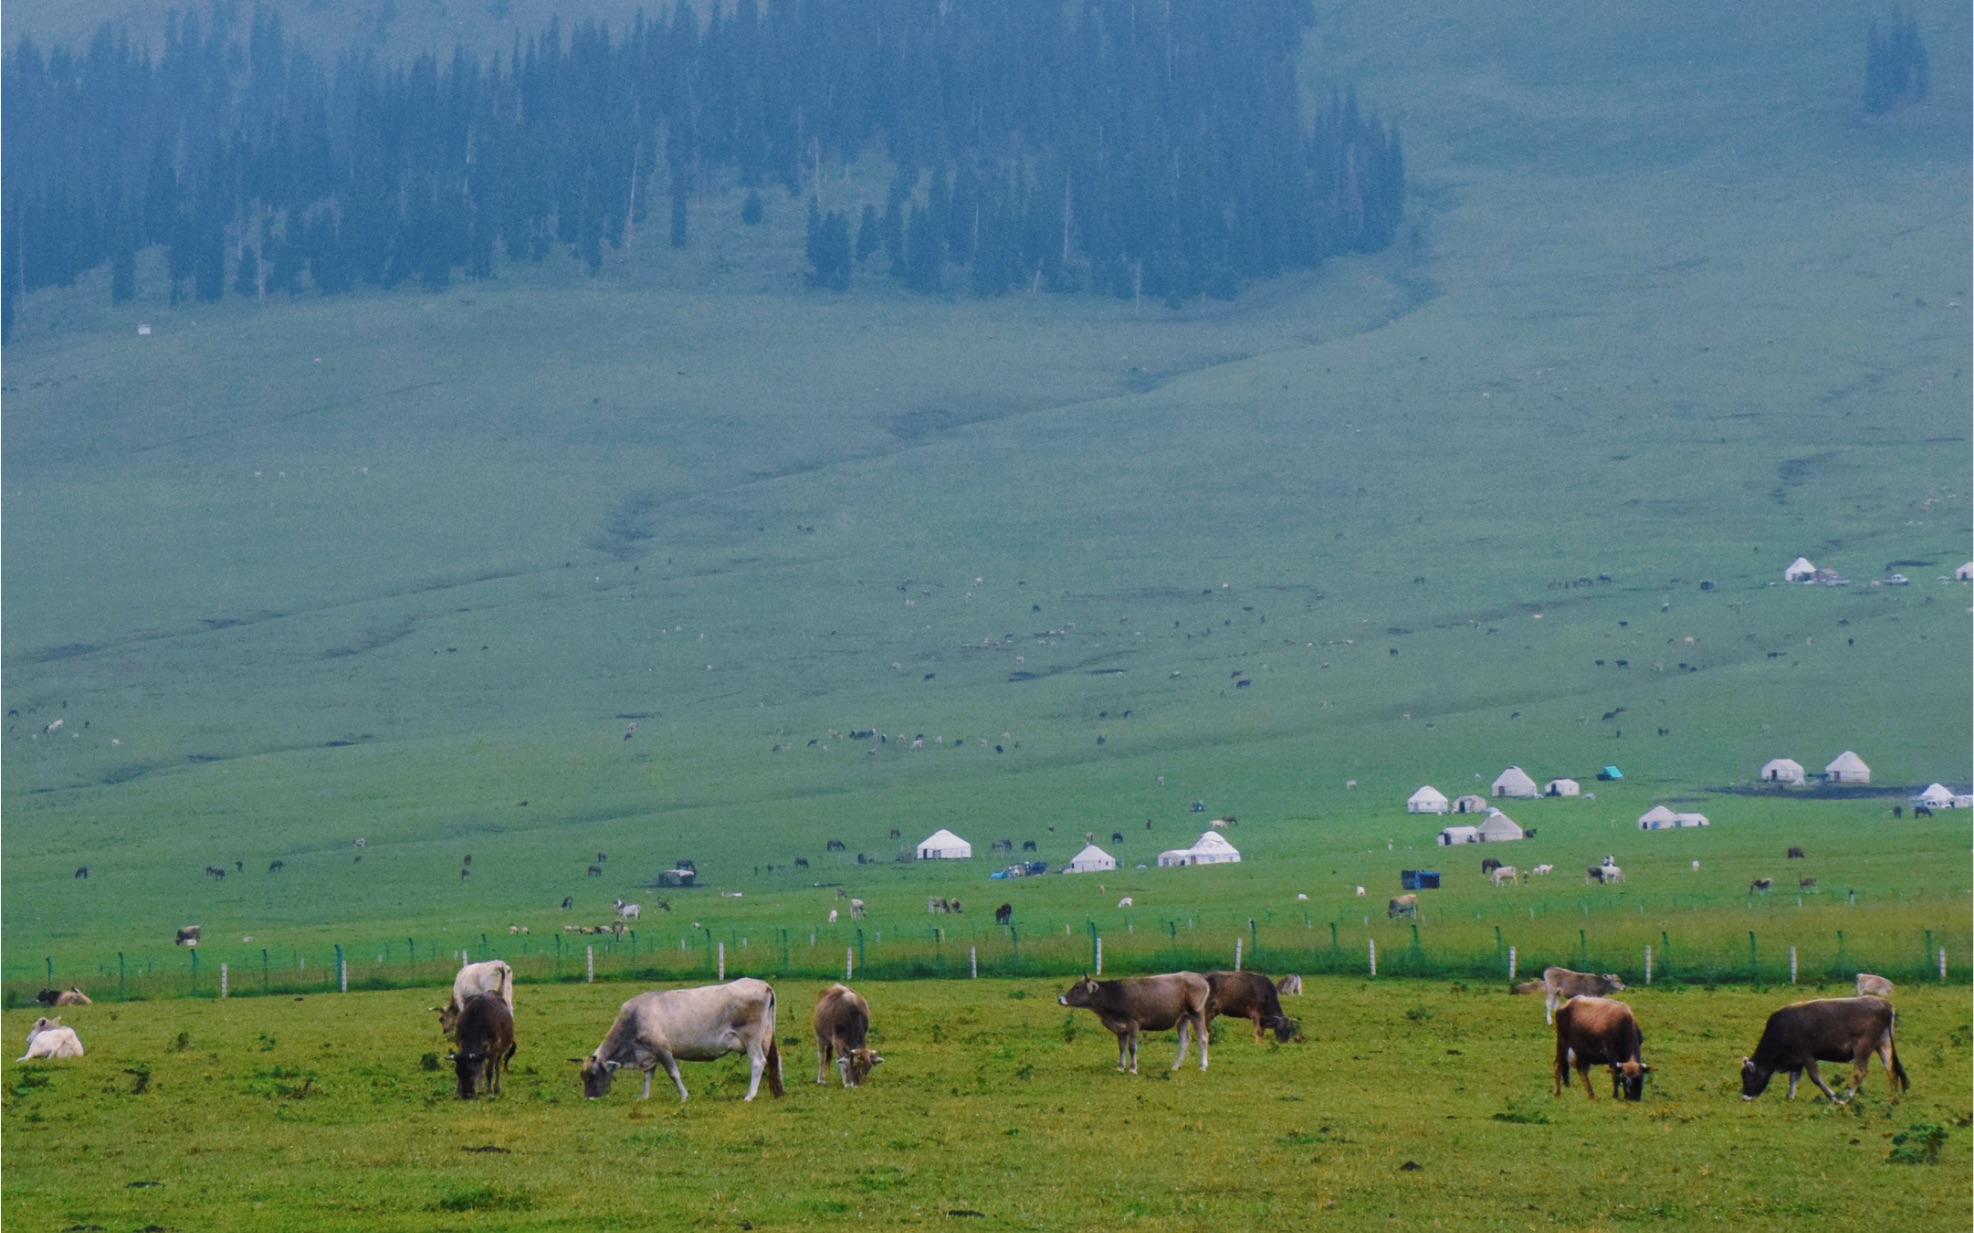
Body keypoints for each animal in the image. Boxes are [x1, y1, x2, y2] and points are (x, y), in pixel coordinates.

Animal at [576, 974, 781, 1104]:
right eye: (582, 1076)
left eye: (593, 1075)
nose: (588, 1098)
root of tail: (763, 985)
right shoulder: (649, 1054)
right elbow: (647, 1076)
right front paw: (644, 1097)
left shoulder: (662, 1049)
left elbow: (674, 1073)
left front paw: (683, 1096)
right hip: (765, 1037)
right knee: (774, 1060)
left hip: (751, 1038)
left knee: (758, 1062)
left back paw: (749, 1096)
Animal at [1058, 966, 1208, 1073]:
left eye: (1077, 987)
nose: (1060, 999)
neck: (1113, 995)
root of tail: (1198, 976)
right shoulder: (1120, 1029)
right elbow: (1121, 1047)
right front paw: (1120, 1067)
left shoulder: (1133, 1024)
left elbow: (1132, 1047)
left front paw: (1133, 1068)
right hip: (1182, 1018)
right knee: (1184, 1040)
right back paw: (1175, 1066)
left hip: (1196, 1013)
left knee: (1203, 1037)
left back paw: (1203, 1066)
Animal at [1752, 994, 1902, 1104]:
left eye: (1748, 1074)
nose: (1747, 1096)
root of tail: (1886, 1006)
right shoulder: (1797, 1061)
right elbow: (1794, 1078)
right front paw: (1790, 1096)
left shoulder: (1807, 1056)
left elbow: (1814, 1077)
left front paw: (1833, 1097)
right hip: (1883, 1043)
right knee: (1890, 1066)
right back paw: (1894, 1099)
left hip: (1862, 1047)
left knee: (1860, 1072)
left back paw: (1846, 1098)